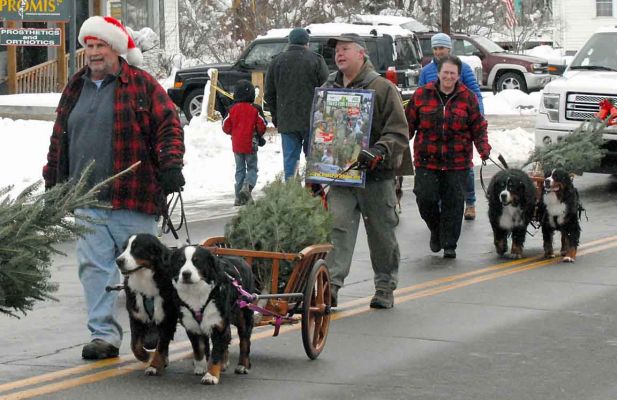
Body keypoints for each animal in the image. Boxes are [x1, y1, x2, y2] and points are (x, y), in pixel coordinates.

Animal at [114, 233, 177, 376]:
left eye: (136, 249)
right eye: (124, 248)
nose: (118, 261)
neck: (144, 281)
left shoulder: (167, 317)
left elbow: (161, 346)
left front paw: (154, 366)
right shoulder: (136, 316)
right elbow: (135, 345)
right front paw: (146, 356)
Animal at [170, 245, 254, 386]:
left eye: (197, 261)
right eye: (181, 261)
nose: (186, 273)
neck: (197, 294)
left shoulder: (218, 325)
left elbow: (215, 354)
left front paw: (211, 376)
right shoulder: (192, 325)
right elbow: (199, 349)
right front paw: (201, 367)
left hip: (243, 316)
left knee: (244, 341)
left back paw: (243, 365)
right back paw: (224, 363)